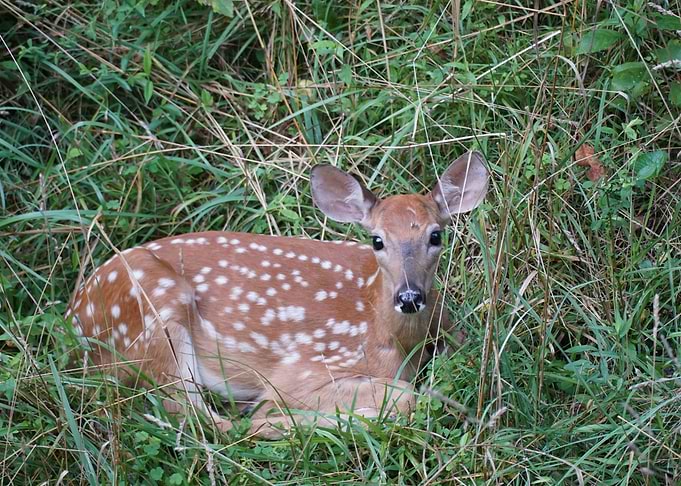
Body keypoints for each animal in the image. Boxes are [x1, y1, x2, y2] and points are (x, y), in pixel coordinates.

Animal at [65, 151, 489, 438]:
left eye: (436, 235)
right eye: (377, 240)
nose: (409, 296)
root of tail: (72, 321)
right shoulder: (302, 370)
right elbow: (404, 395)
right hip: (156, 312)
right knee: (205, 420)